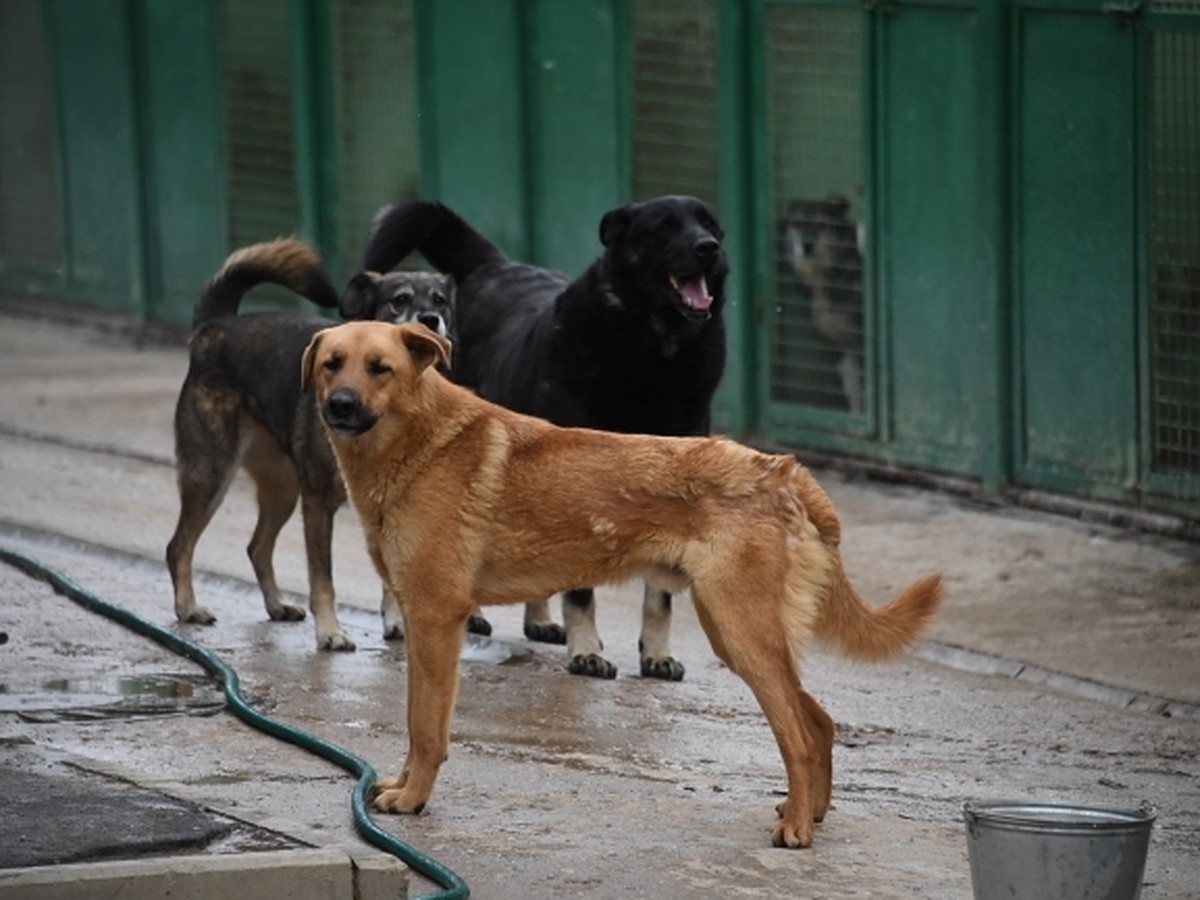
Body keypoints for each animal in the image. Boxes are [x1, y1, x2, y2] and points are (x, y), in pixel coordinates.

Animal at [164, 240, 453, 648]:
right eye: (400, 300)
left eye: (441, 300)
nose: (430, 319)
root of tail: (215, 325)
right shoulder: (318, 502)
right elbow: (322, 580)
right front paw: (330, 632)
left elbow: (391, 582)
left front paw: (398, 624)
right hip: (211, 476)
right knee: (179, 546)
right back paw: (188, 608)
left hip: (282, 489)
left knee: (257, 547)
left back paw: (277, 606)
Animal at [297, 321, 936, 849]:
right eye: (332, 364)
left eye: (380, 368)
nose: (339, 405)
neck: (420, 442)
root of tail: (783, 471)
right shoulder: (420, 620)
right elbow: (413, 720)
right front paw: (399, 788)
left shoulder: (436, 618)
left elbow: (426, 727)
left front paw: (413, 799)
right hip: (736, 633)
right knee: (819, 721)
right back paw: (813, 813)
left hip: (744, 633)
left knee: (799, 735)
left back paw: (798, 829)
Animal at [360, 195, 724, 676]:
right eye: (665, 226)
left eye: (708, 223)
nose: (709, 247)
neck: (650, 347)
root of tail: (494, 264)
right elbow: (582, 589)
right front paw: (586, 650)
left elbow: (659, 594)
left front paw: (657, 653)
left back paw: (539, 620)